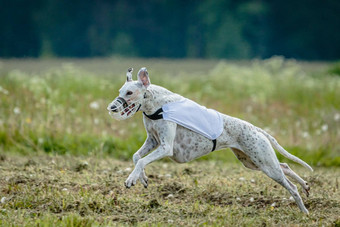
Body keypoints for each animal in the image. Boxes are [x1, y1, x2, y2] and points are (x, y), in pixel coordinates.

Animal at [107, 67, 314, 213]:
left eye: (129, 93)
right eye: (120, 90)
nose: (112, 108)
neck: (155, 104)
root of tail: (256, 129)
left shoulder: (165, 147)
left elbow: (142, 160)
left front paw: (131, 179)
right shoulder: (153, 141)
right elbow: (136, 157)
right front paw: (141, 178)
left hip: (264, 163)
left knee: (290, 186)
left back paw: (304, 210)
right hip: (253, 161)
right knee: (285, 166)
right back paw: (306, 186)